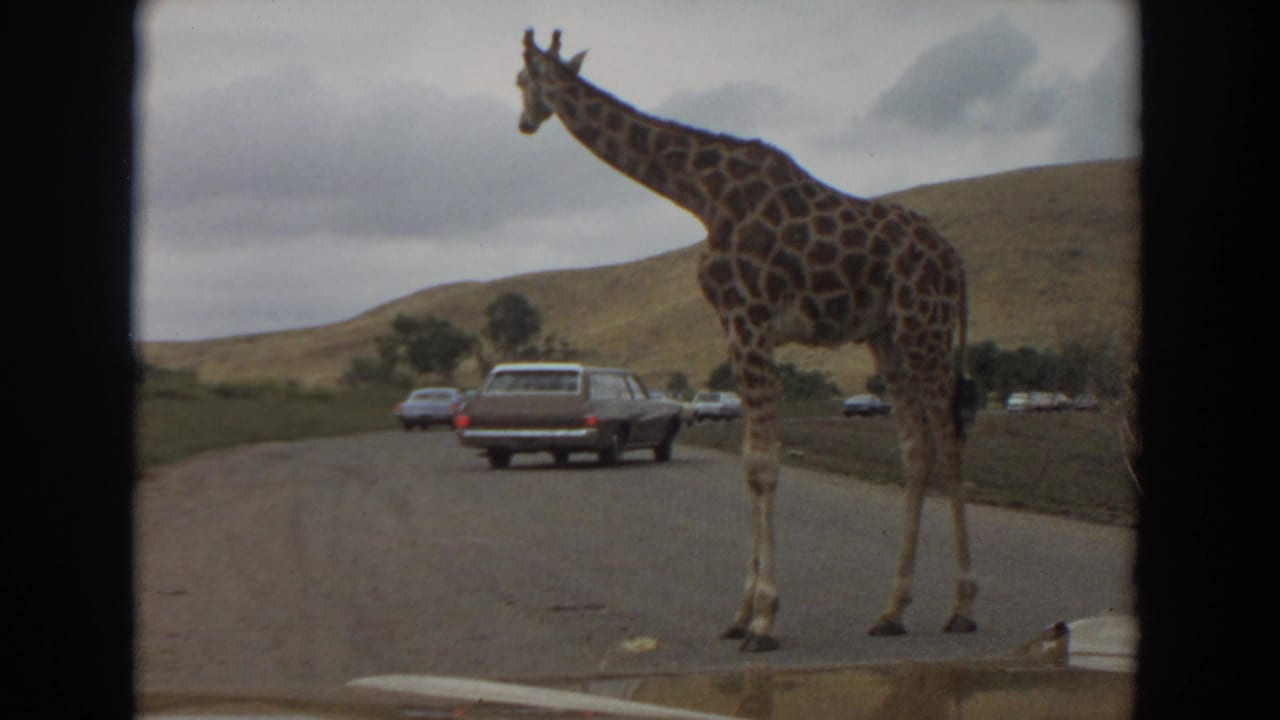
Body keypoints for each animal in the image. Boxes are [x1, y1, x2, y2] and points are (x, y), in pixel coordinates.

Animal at [516, 29, 980, 651]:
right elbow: (749, 464)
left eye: (520, 80)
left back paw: (961, 607)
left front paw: (763, 618)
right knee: (917, 448)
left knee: (949, 443)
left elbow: (763, 464)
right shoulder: (734, 328)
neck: (700, 192)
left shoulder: (751, 320)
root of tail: (955, 262)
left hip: (925, 325)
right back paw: (892, 611)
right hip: (888, 336)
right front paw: (740, 614)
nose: (524, 121)